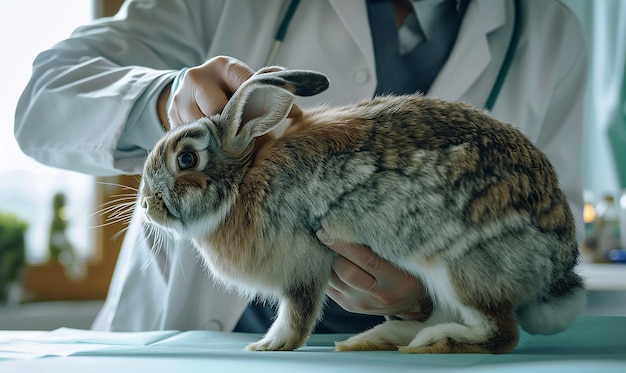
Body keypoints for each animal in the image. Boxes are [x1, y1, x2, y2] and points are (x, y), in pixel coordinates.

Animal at [139, 65, 584, 354]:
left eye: (186, 160)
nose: (145, 205)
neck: (243, 182)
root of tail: (557, 265)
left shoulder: (304, 266)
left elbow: (297, 314)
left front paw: (269, 345)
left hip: (462, 267)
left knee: (502, 332)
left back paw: (435, 342)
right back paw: (378, 339)